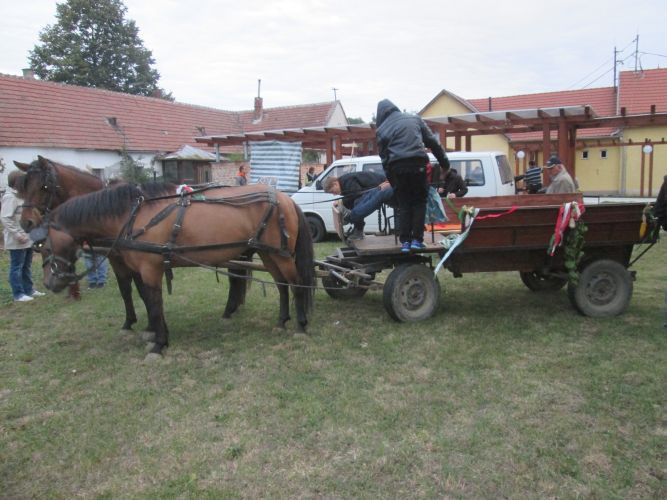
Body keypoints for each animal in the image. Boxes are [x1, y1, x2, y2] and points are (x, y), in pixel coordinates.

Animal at [13, 156, 253, 334]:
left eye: (44, 186)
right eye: (23, 187)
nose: (26, 223)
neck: (124, 215)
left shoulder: (125, 259)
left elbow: (135, 290)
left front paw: (145, 326)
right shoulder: (124, 259)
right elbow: (131, 291)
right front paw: (140, 323)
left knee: (235, 277)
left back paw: (230, 309)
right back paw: (232, 308)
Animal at [39, 182, 316, 354]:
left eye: (44, 244)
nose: (49, 283)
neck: (132, 217)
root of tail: (285, 198)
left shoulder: (149, 269)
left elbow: (153, 303)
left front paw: (159, 343)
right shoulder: (141, 268)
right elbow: (149, 301)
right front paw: (156, 334)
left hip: (280, 255)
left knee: (296, 283)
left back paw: (301, 325)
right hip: (268, 253)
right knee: (282, 285)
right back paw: (281, 321)